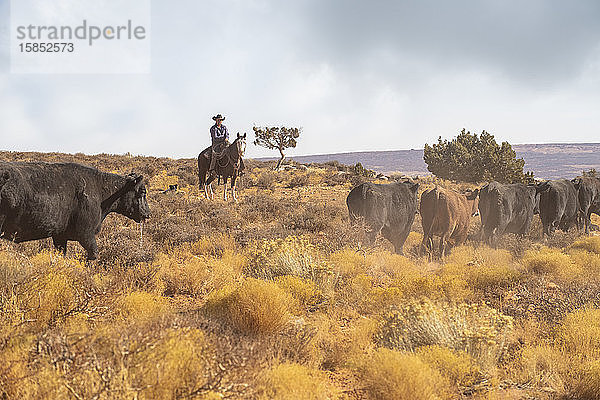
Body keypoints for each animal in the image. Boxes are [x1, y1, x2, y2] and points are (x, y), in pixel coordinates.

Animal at [0, 162, 150, 260]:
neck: (100, 190)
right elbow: (93, 254)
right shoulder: (86, 234)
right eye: (142, 192)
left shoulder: (60, 236)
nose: (148, 214)